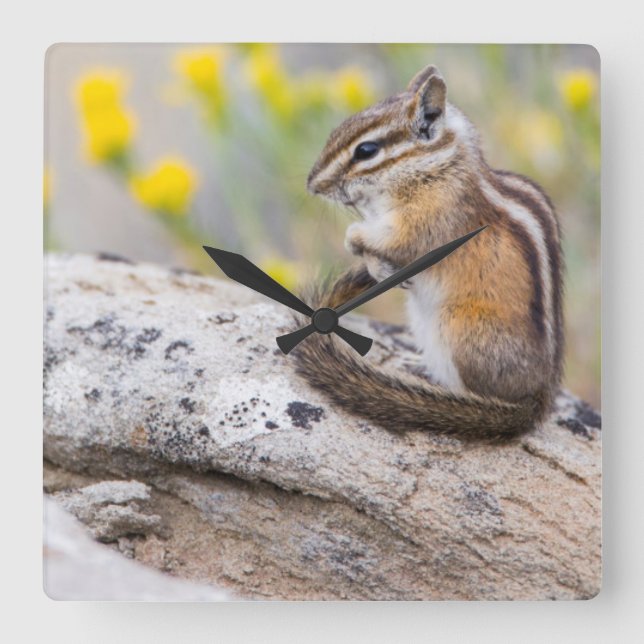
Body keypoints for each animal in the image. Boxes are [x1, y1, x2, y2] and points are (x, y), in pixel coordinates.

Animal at [292, 64, 564, 442]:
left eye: (366, 150)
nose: (313, 184)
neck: (436, 166)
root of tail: (538, 399)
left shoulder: (427, 221)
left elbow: (393, 239)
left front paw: (355, 238)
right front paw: (374, 264)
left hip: (457, 327)